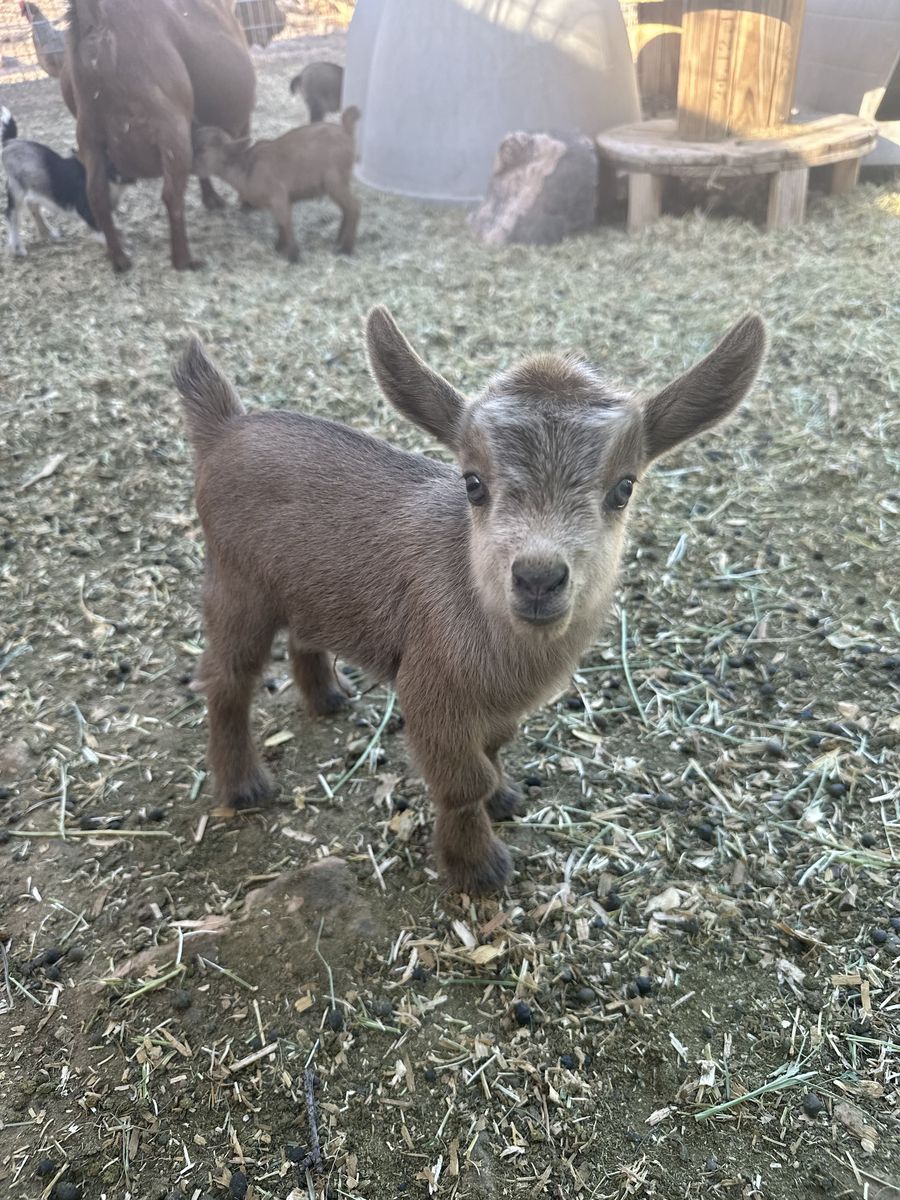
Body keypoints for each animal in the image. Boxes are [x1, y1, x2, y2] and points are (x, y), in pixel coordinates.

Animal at [2, 106, 130, 256]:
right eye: (109, 162)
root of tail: (9, 142)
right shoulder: (86, 207)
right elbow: (100, 229)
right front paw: (124, 251)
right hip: (15, 186)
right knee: (11, 214)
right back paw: (19, 249)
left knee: (31, 203)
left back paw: (49, 233)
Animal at [174, 309, 766, 895]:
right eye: (473, 483)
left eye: (624, 488)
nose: (538, 578)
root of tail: (224, 427)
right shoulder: (431, 687)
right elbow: (462, 782)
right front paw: (477, 867)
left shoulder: (498, 703)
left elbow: (495, 748)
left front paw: (503, 797)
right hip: (236, 582)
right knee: (227, 678)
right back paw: (244, 786)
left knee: (302, 632)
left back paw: (328, 698)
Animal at [192, 109, 361, 261]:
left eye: (202, 150)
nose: (190, 166)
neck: (247, 168)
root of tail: (346, 132)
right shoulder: (278, 201)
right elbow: (280, 223)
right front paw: (279, 247)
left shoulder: (278, 195)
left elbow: (285, 221)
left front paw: (293, 255)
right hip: (341, 181)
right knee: (346, 209)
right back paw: (339, 240)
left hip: (334, 181)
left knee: (353, 207)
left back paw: (346, 249)